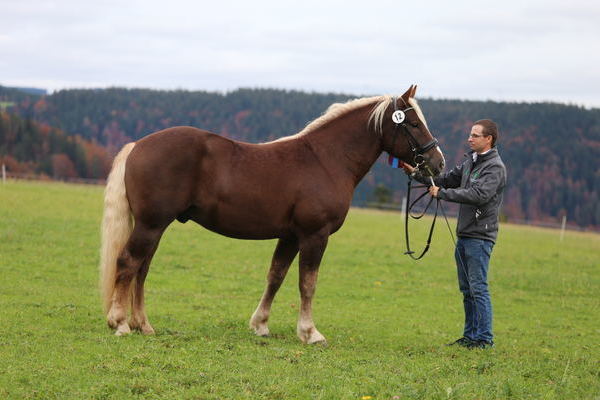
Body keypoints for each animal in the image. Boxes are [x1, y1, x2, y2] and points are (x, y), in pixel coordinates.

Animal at [99, 84, 446, 344]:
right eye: (413, 123)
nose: (438, 163)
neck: (325, 160)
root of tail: (138, 145)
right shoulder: (314, 235)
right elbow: (308, 283)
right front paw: (310, 332)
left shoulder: (290, 236)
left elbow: (275, 276)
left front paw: (260, 325)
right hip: (151, 225)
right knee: (128, 263)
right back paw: (120, 323)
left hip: (155, 226)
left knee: (141, 270)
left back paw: (143, 325)